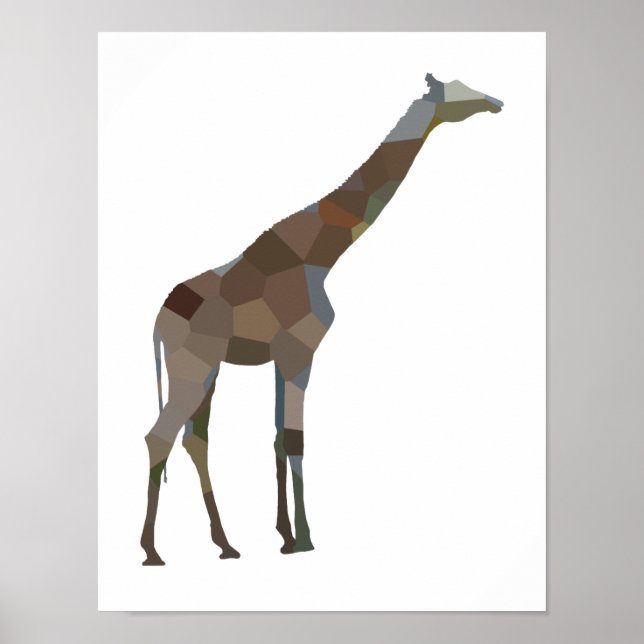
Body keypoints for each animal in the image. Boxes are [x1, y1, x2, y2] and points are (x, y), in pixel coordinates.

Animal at [140, 72, 503, 565]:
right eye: (458, 89)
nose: (496, 102)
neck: (322, 252)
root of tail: (159, 321)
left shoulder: (283, 355)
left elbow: (278, 436)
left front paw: (283, 536)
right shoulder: (300, 350)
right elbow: (295, 438)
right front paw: (305, 541)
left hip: (208, 368)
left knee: (194, 438)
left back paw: (226, 545)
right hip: (191, 365)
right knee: (159, 436)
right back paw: (151, 551)